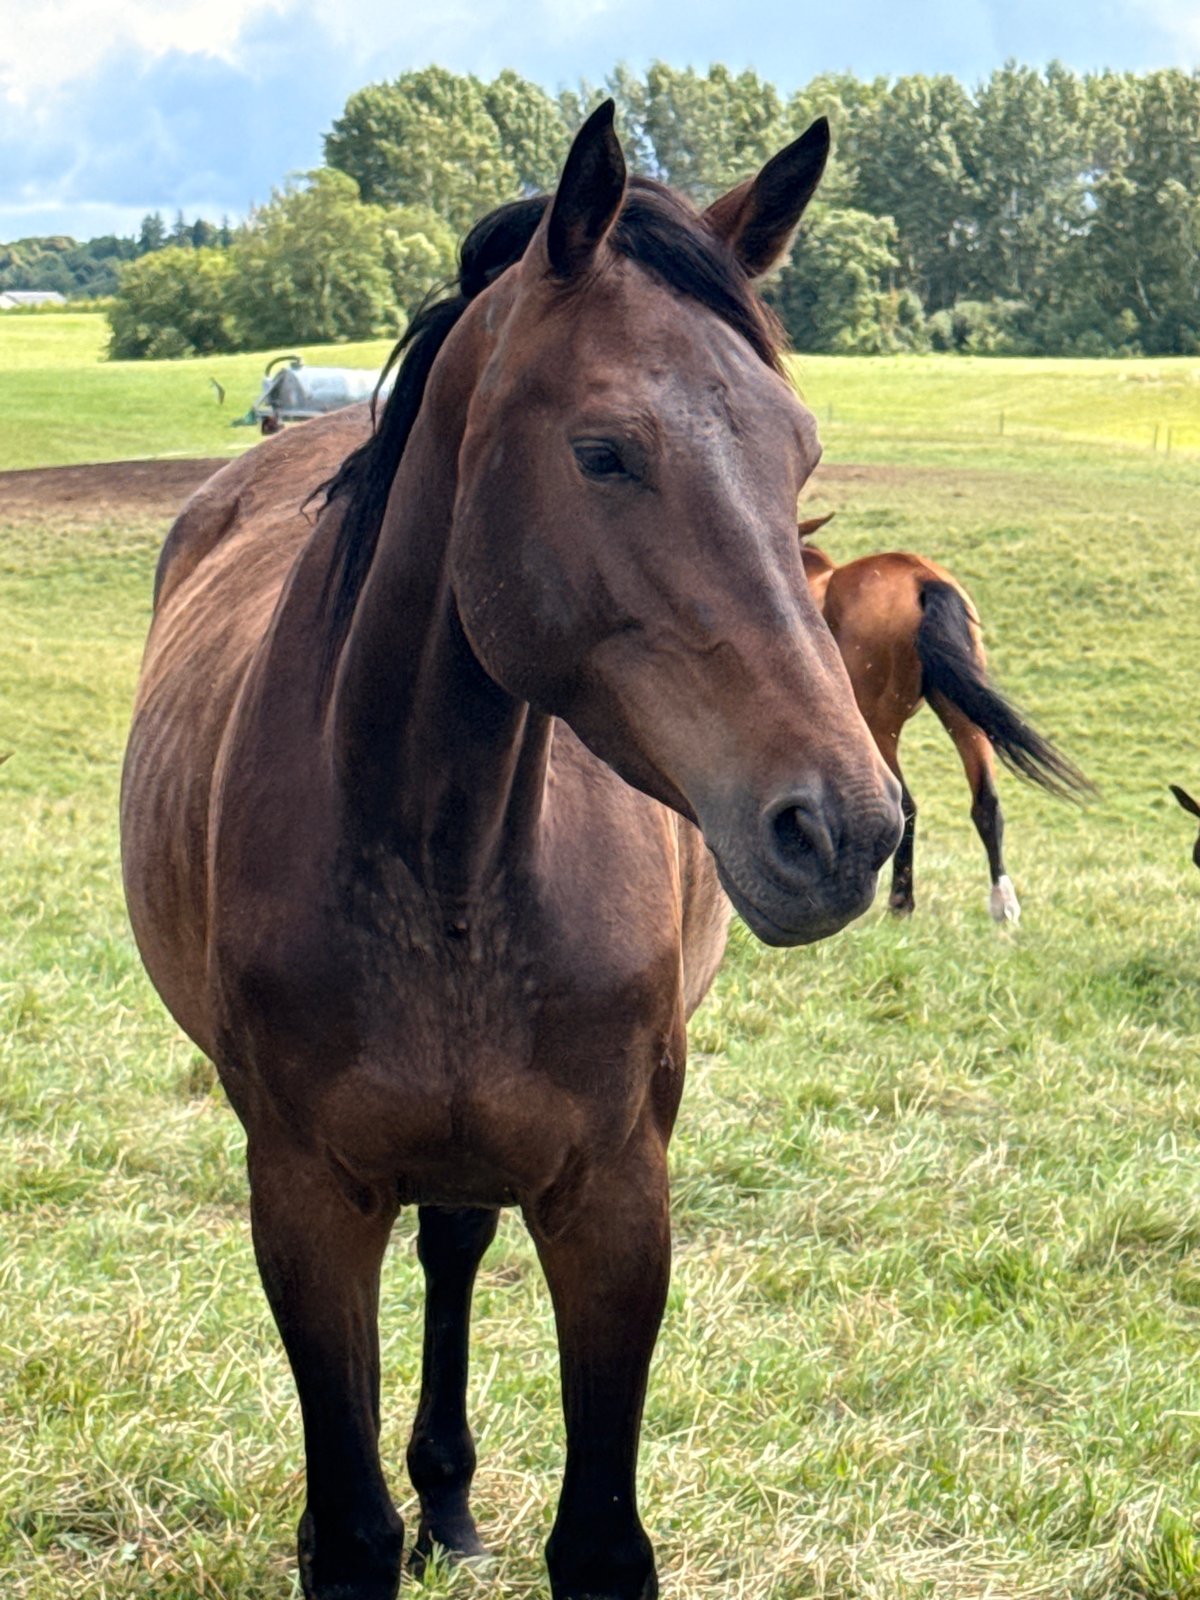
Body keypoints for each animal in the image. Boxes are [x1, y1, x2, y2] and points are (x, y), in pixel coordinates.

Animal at [120, 104, 902, 1600]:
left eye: (801, 458)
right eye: (604, 451)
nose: (846, 827)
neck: (448, 855)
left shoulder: (616, 1195)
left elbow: (599, 1541)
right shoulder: (305, 1200)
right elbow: (348, 1533)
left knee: (456, 1242)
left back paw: (452, 1496)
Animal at [798, 515, 1090, 922]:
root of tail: (922, 577)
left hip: (878, 725)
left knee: (903, 804)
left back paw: (900, 902)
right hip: (962, 714)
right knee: (987, 801)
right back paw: (1002, 903)